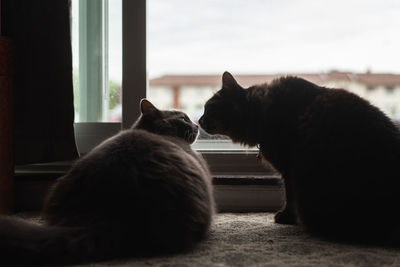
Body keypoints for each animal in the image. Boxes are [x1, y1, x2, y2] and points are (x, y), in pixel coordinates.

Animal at [200, 71, 400, 245]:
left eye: (208, 108)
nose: (199, 121)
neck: (262, 112)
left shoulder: (289, 170)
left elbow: (289, 196)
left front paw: (286, 217)